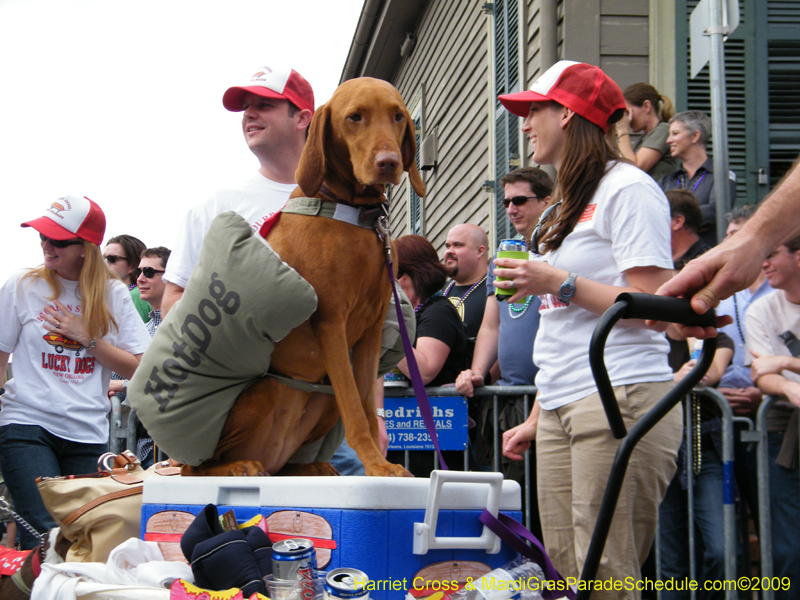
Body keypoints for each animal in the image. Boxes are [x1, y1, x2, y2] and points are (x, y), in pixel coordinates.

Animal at [183, 77, 424, 478]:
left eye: (398, 117)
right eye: (354, 117)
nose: (388, 163)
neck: (356, 214)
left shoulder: (371, 331)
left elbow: (365, 406)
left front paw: (379, 460)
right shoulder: (331, 322)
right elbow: (355, 411)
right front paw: (376, 464)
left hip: (321, 400)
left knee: (289, 462)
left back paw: (315, 467)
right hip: (264, 392)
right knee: (195, 466)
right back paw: (239, 466)